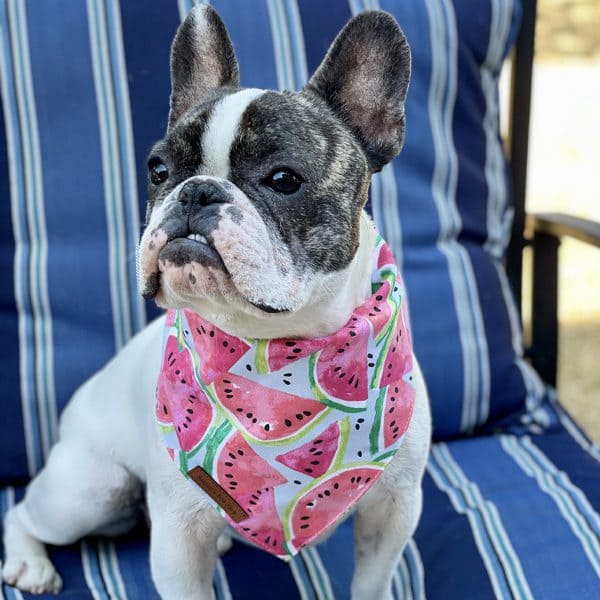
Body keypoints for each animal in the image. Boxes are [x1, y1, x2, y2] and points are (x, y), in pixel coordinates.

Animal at [1, 5, 432, 600]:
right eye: (158, 170)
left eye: (284, 179)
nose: (196, 191)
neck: (274, 348)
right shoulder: (178, 538)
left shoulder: (393, 512)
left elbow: (371, 582)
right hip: (87, 490)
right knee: (21, 512)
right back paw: (30, 564)